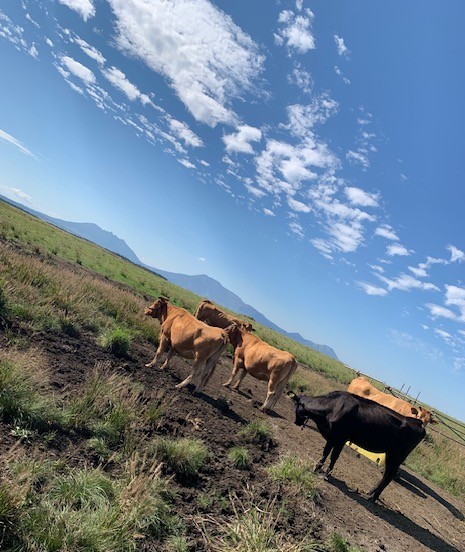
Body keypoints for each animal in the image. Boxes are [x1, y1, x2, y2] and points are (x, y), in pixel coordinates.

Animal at [290, 390, 426, 502]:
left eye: (297, 406)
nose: (296, 422)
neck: (333, 407)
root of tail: (417, 422)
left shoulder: (341, 438)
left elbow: (334, 456)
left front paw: (327, 473)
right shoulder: (332, 436)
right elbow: (325, 452)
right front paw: (318, 468)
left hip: (398, 456)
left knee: (390, 475)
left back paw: (373, 497)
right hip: (390, 454)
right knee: (387, 474)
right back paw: (371, 492)